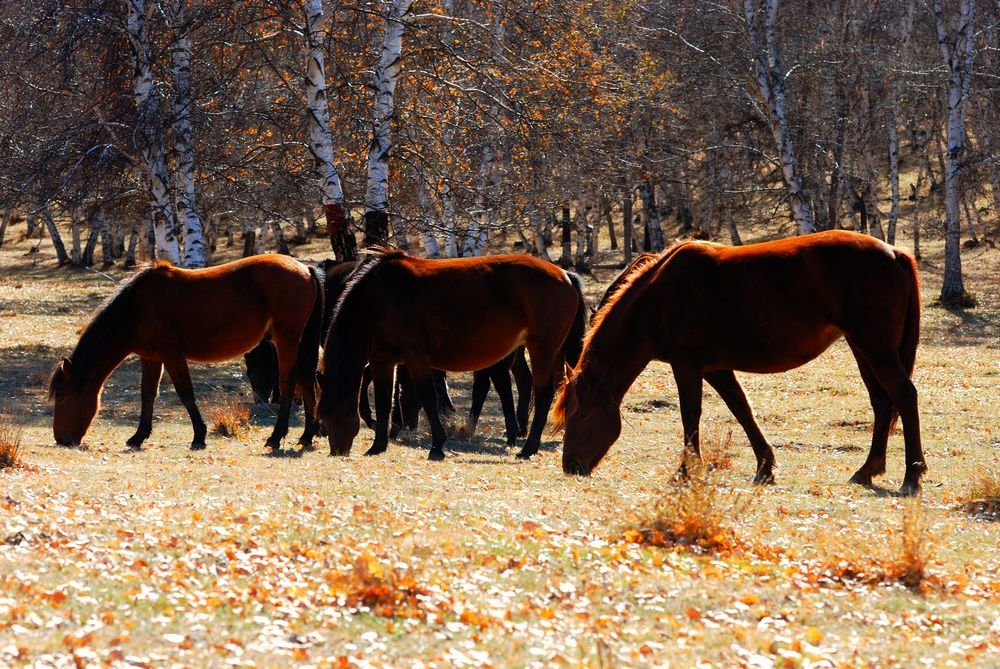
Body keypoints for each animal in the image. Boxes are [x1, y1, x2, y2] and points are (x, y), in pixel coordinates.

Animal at [48, 253, 322, 452]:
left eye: (63, 398)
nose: (62, 439)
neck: (136, 308)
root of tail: (305, 268)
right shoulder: (151, 358)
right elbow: (147, 395)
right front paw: (138, 437)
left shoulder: (171, 355)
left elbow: (185, 392)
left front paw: (199, 436)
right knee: (307, 380)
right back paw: (307, 436)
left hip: (286, 339)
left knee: (289, 382)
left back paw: (276, 437)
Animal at [318, 249, 584, 460]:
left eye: (336, 411)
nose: (337, 452)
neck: (377, 300)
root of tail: (565, 274)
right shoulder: (382, 362)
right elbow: (384, 403)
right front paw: (377, 446)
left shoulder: (415, 358)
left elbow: (428, 398)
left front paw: (437, 445)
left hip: (542, 349)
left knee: (543, 395)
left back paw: (527, 448)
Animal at [552, 230, 924, 496]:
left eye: (581, 413)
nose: (570, 465)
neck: (659, 296)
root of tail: (895, 253)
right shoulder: (715, 369)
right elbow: (741, 409)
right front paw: (765, 467)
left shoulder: (686, 364)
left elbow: (691, 415)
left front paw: (686, 471)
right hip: (864, 349)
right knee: (882, 402)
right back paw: (867, 470)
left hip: (875, 348)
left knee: (904, 396)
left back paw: (912, 476)